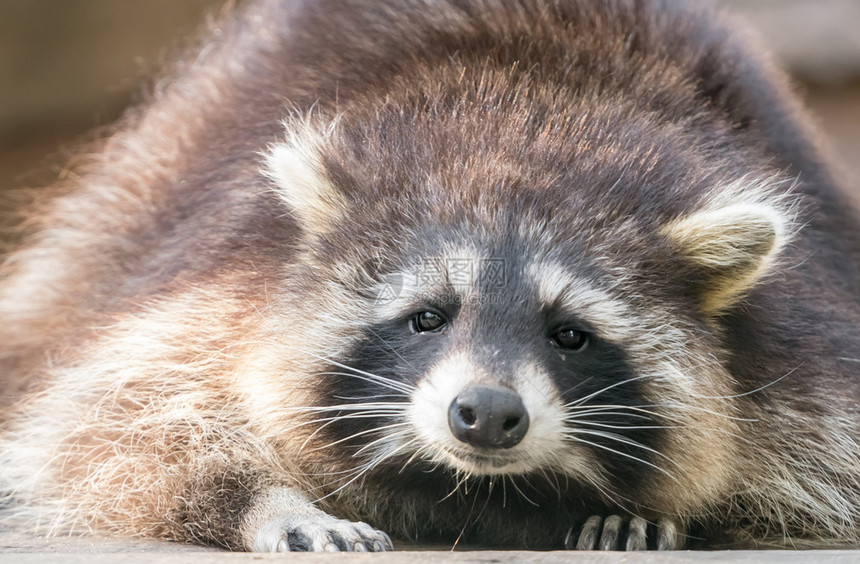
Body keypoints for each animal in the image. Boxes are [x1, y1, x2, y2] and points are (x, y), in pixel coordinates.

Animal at [1, 0, 860, 552]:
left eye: (570, 335)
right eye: (427, 316)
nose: (486, 414)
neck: (532, 120)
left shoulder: (805, 343)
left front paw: (661, 512)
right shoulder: (220, 279)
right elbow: (113, 424)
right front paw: (263, 500)